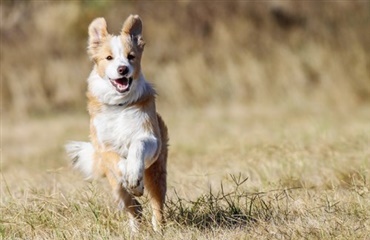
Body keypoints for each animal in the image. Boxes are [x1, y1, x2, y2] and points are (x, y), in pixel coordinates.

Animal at [65, 15, 169, 232]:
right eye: (109, 58)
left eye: (131, 56)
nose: (123, 69)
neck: (119, 105)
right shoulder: (103, 147)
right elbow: (118, 162)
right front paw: (130, 177)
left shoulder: (150, 138)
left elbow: (138, 146)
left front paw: (134, 176)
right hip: (116, 188)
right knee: (132, 207)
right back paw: (136, 229)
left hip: (157, 171)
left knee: (156, 204)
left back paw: (158, 228)